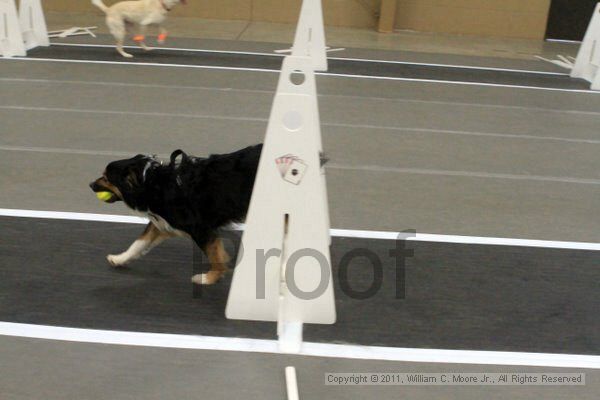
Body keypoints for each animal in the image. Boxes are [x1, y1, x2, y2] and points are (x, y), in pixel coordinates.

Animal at [88, 144, 262, 284]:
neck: (153, 184)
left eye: (106, 178)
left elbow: (215, 257)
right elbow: (139, 243)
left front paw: (209, 278)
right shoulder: (163, 223)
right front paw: (119, 259)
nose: (90, 184)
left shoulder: (201, 230)